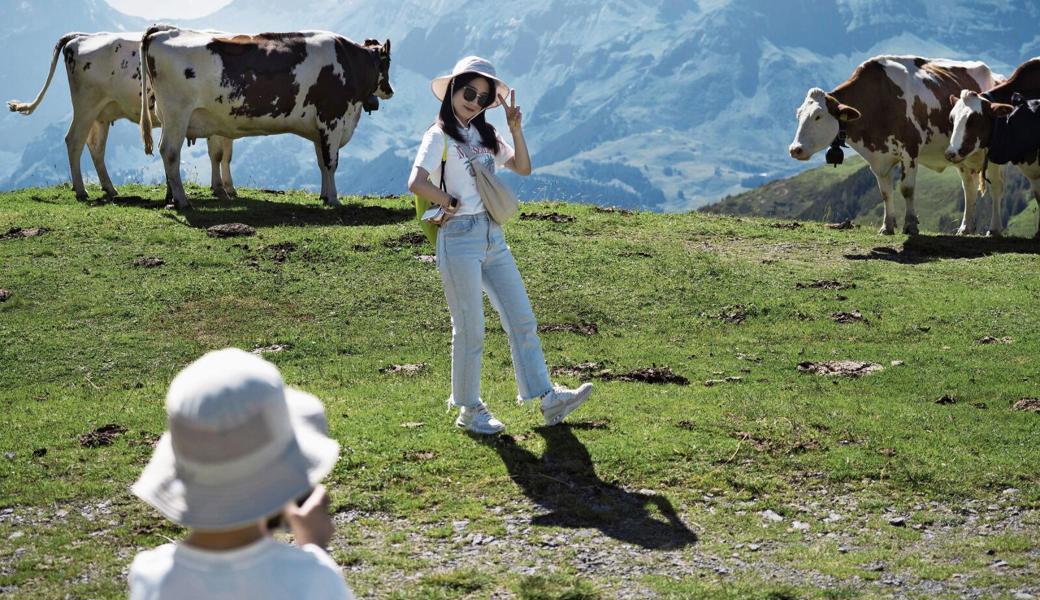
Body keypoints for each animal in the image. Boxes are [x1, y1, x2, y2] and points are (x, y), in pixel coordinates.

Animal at [6, 32, 233, 201]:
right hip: (85, 105)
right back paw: (81, 190)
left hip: (101, 114)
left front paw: (223, 187)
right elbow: (218, 154)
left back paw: (109, 188)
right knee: (74, 141)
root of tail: (79, 37)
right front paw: (222, 188)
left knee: (96, 147)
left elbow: (224, 154)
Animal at [140, 26, 391, 209]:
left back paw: (173, 199)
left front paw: (324, 196)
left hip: (169, 116)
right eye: (387, 62)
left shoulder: (320, 128)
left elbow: (321, 162)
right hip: (177, 114)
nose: (390, 91)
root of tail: (161, 32)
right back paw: (182, 201)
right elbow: (331, 162)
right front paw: (334, 199)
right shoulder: (333, 119)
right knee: (170, 152)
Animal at [790, 55, 1002, 233]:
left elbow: (907, 189)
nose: (795, 149)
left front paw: (910, 225)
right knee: (969, 188)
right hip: (962, 156)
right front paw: (887, 226)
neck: (879, 100)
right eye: (798, 115)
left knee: (996, 188)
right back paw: (966, 228)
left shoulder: (910, 150)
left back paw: (993, 229)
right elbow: (885, 192)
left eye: (818, 116)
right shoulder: (878, 158)